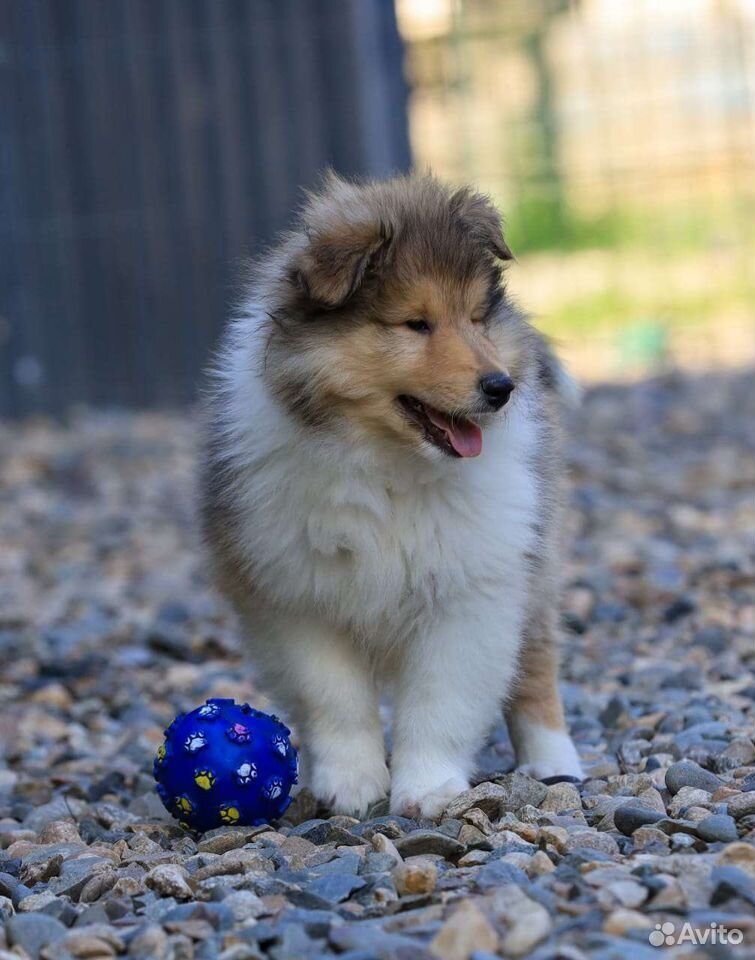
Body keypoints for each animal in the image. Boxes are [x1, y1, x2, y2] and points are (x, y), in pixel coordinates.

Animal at [201, 172, 584, 816]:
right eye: (416, 324)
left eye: (476, 318)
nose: (501, 387)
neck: (390, 466)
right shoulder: (296, 596)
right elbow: (336, 699)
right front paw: (352, 786)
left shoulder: (472, 591)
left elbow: (439, 700)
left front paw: (427, 789)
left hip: (536, 560)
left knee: (535, 665)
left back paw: (555, 764)